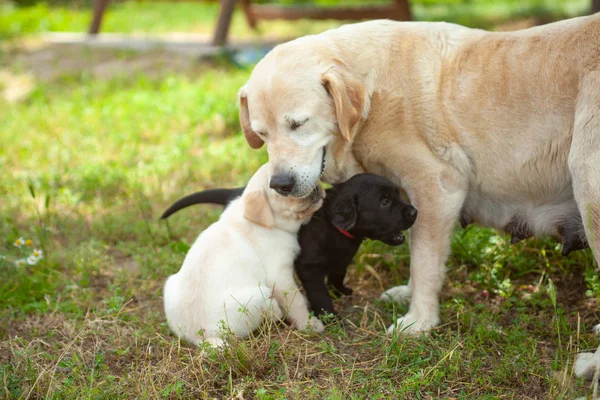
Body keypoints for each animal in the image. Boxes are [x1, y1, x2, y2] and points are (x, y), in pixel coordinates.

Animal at [162, 173, 420, 318]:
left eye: (398, 195)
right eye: (384, 202)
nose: (414, 211)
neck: (334, 228)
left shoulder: (342, 259)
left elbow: (337, 275)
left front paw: (341, 291)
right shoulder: (309, 268)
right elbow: (319, 293)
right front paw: (329, 315)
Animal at [163, 163, 324, 346]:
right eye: (284, 190)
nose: (315, 187)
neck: (268, 223)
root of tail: (200, 337)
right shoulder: (280, 277)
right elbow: (296, 302)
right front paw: (309, 324)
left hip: (169, 284)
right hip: (257, 294)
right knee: (269, 311)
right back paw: (275, 309)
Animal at [237, 14, 600, 334]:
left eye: (298, 124)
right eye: (262, 134)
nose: (280, 184)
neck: (371, 94)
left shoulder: (437, 186)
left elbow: (424, 260)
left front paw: (420, 321)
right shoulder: (410, 197)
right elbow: (415, 243)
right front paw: (409, 296)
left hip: (587, 184)